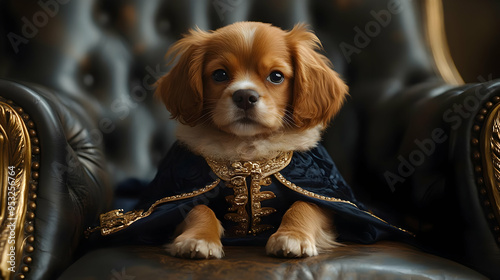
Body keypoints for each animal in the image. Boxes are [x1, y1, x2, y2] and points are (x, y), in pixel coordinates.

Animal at [155, 21, 348, 258]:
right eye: (220, 74)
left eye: (276, 76)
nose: (245, 96)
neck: (248, 151)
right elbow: (196, 208)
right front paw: (198, 239)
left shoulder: (324, 198)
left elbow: (305, 205)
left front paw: (293, 236)